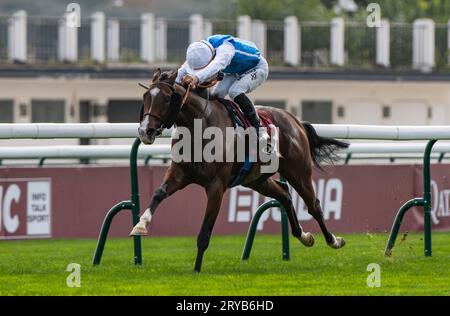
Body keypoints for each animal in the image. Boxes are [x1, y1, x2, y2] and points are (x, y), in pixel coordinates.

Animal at [130, 69, 348, 272]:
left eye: (167, 99)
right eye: (145, 97)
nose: (145, 131)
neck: (200, 126)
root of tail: (296, 121)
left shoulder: (216, 186)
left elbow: (204, 233)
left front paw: (197, 270)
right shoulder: (179, 173)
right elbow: (159, 193)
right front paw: (141, 225)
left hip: (298, 172)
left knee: (314, 205)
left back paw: (334, 240)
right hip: (256, 179)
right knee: (285, 194)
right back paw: (304, 236)